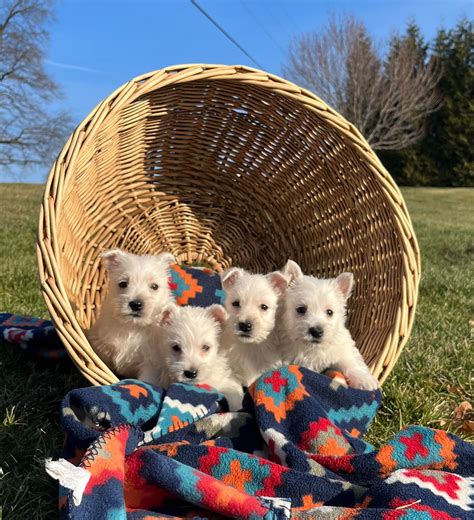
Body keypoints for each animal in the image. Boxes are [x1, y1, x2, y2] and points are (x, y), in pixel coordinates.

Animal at [86, 249, 175, 378]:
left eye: (154, 286)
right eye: (123, 284)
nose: (136, 304)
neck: (133, 326)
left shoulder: (151, 364)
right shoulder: (102, 348)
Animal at [280, 260, 380, 390]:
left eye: (329, 312)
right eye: (301, 309)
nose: (316, 331)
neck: (313, 349)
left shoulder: (342, 346)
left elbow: (350, 361)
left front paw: (365, 380)